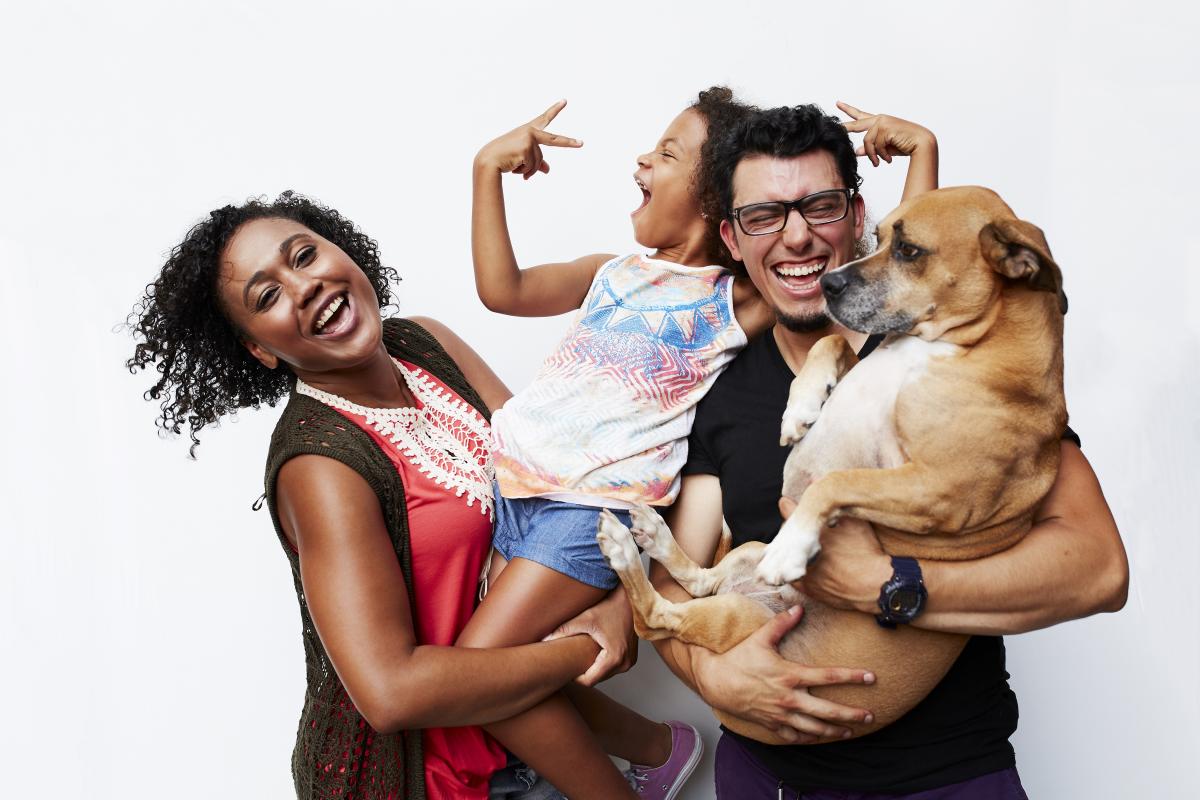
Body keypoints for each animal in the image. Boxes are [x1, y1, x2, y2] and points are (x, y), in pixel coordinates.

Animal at [597, 186, 1067, 744]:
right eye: (879, 236)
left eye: (909, 250)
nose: (827, 283)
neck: (945, 346)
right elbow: (832, 340)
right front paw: (801, 406)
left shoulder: (938, 491)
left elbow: (836, 482)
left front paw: (794, 545)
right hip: (744, 557)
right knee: (697, 583)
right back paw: (651, 535)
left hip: (736, 616)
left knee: (657, 616)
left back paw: (628, 550)